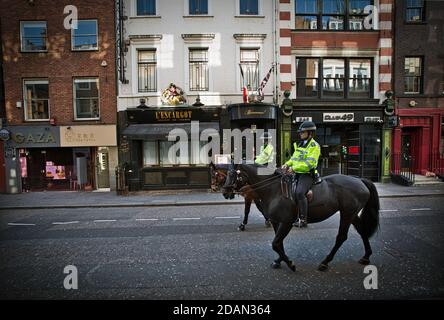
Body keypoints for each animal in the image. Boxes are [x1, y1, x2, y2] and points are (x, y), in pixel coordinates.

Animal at [224, 164, 380, 272]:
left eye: (232, 175)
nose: (225, 192)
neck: (274, 189)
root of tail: (359, 180)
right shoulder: (276, 222)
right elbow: (278, 243)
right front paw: (279, 260)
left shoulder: (286, 222)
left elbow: (275, 243)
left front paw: (290, 264)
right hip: (351, 214)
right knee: (362, 230)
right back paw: (366, 256)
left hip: (347, 214)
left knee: (341, 237)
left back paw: (325, 262)